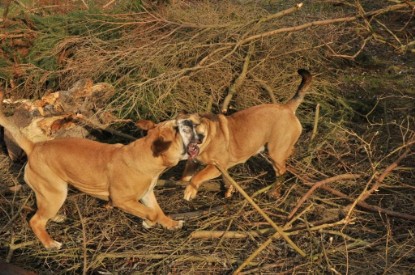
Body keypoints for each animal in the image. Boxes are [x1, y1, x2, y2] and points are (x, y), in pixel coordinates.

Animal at [0, 91, 200, 251]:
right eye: (177, 129)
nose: (188, 119)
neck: (144, 155)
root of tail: (34, 147)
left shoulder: (147, 194)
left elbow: (158, 210)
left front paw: (171, 223)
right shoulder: (123, 200)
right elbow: (152, 213)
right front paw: (149, 222)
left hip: (52, 193)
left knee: (41, 211)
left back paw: (55, 218)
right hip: (55, 192)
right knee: (36, 220)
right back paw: (50, 243)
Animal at [179, 69, 312, 202]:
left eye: (193, 126)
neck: (208, 137)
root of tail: (287, 107)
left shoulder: (216, 166)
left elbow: (198, 175)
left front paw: (190, 190)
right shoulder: (194, 162)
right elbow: (186, 176)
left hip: (275, 153)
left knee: (281, 172)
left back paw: (274, 192)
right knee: (289, 152)